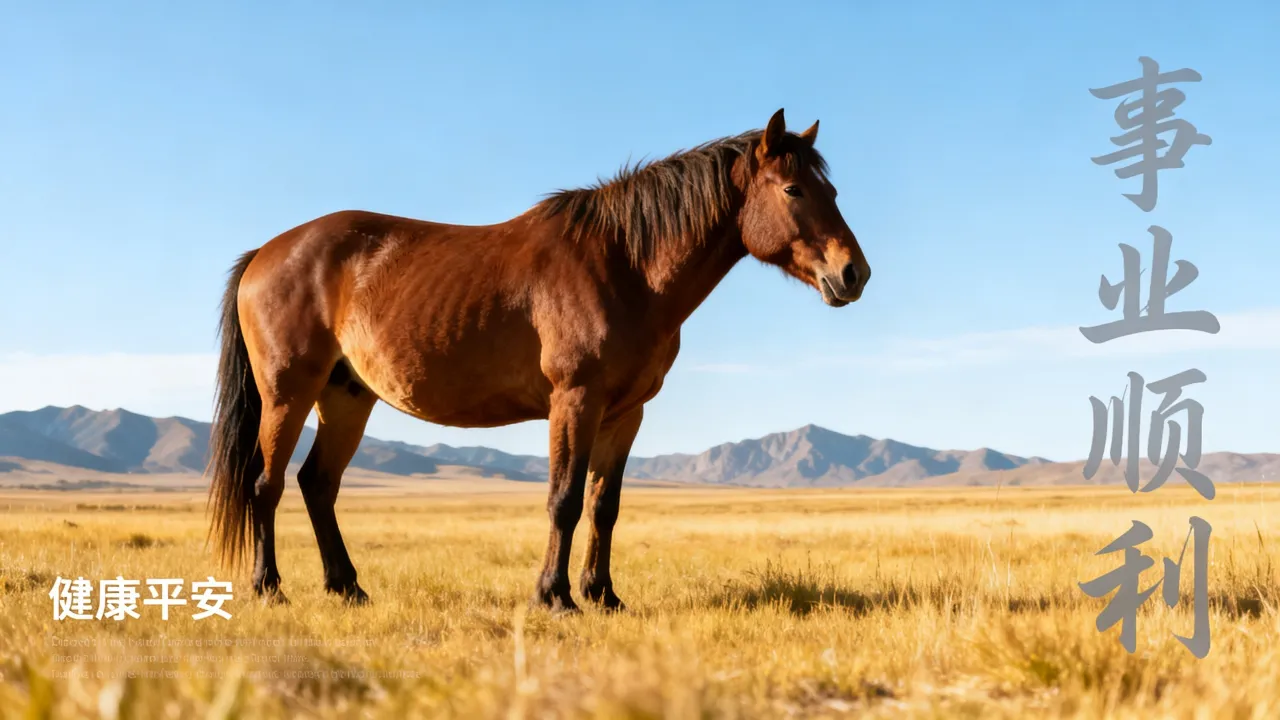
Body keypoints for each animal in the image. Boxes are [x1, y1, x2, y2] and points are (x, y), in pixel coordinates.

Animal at [206, 108, 871, 613]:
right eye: (793, 189)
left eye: (834, 191)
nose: (853, 274)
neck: (625, 266)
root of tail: (266, 252)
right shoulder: (575, 400)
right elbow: (565, 499)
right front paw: (555, 596)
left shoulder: (625, 413)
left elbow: (604, 505)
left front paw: (603, 596)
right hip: (288, 394)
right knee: (266, 484)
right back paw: (269, 588)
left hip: (347, 396)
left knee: (318, 484)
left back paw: (348, 588)